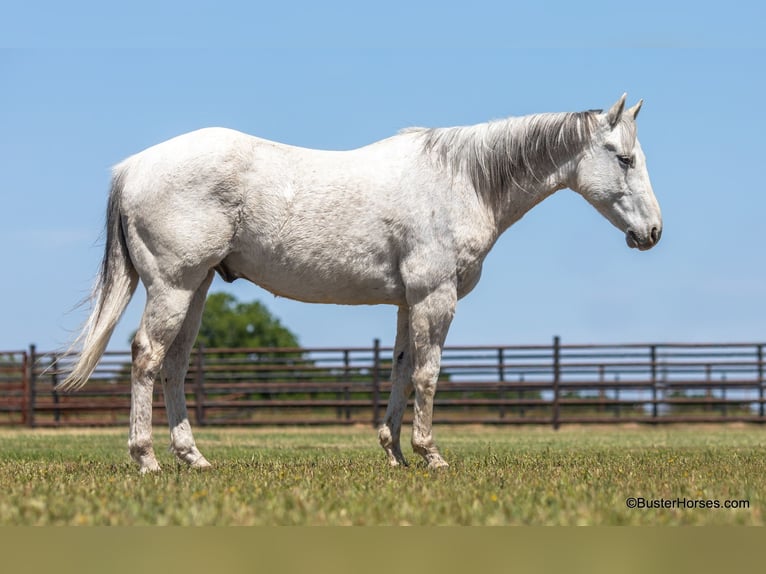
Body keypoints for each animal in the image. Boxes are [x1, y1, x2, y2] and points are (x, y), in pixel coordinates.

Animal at [60, 94, 664, 472]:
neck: (461, 180)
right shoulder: (435, 298)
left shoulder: (407, 302)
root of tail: (131, 169)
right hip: (173, 285)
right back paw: (146, 459)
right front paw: (430, 454)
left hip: (197, 288)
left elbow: (399, 369)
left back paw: (193, 458)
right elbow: (427, 374)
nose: (653, 232)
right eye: (625, 159)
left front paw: (394, 453)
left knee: (175, 364)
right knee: (146, 356)